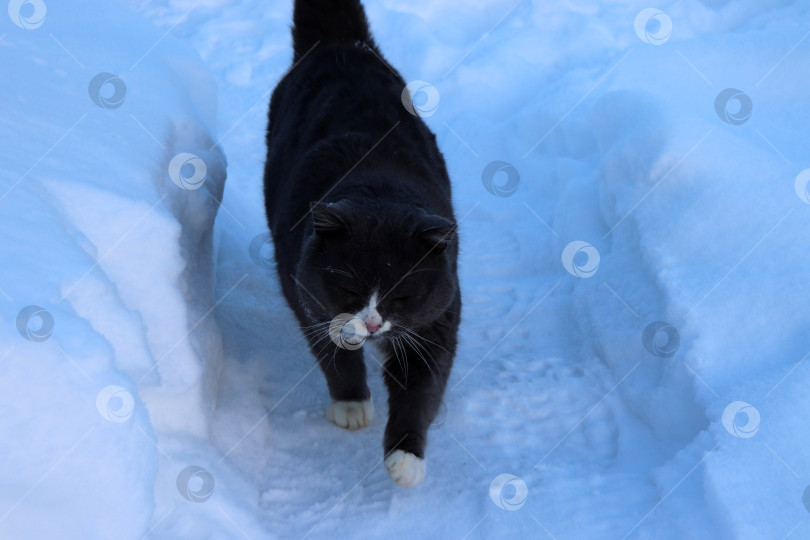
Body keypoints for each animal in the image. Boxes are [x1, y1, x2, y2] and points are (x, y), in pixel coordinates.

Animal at [262, 0, 458, 490]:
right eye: (350, 289)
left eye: (402, 295)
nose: (371, 323)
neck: (378, 185)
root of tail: (340, 44)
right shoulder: (305, 293)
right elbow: (333, 355)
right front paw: (351, 404)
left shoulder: (438, 320)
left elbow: (422, 388)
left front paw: (406, 457)